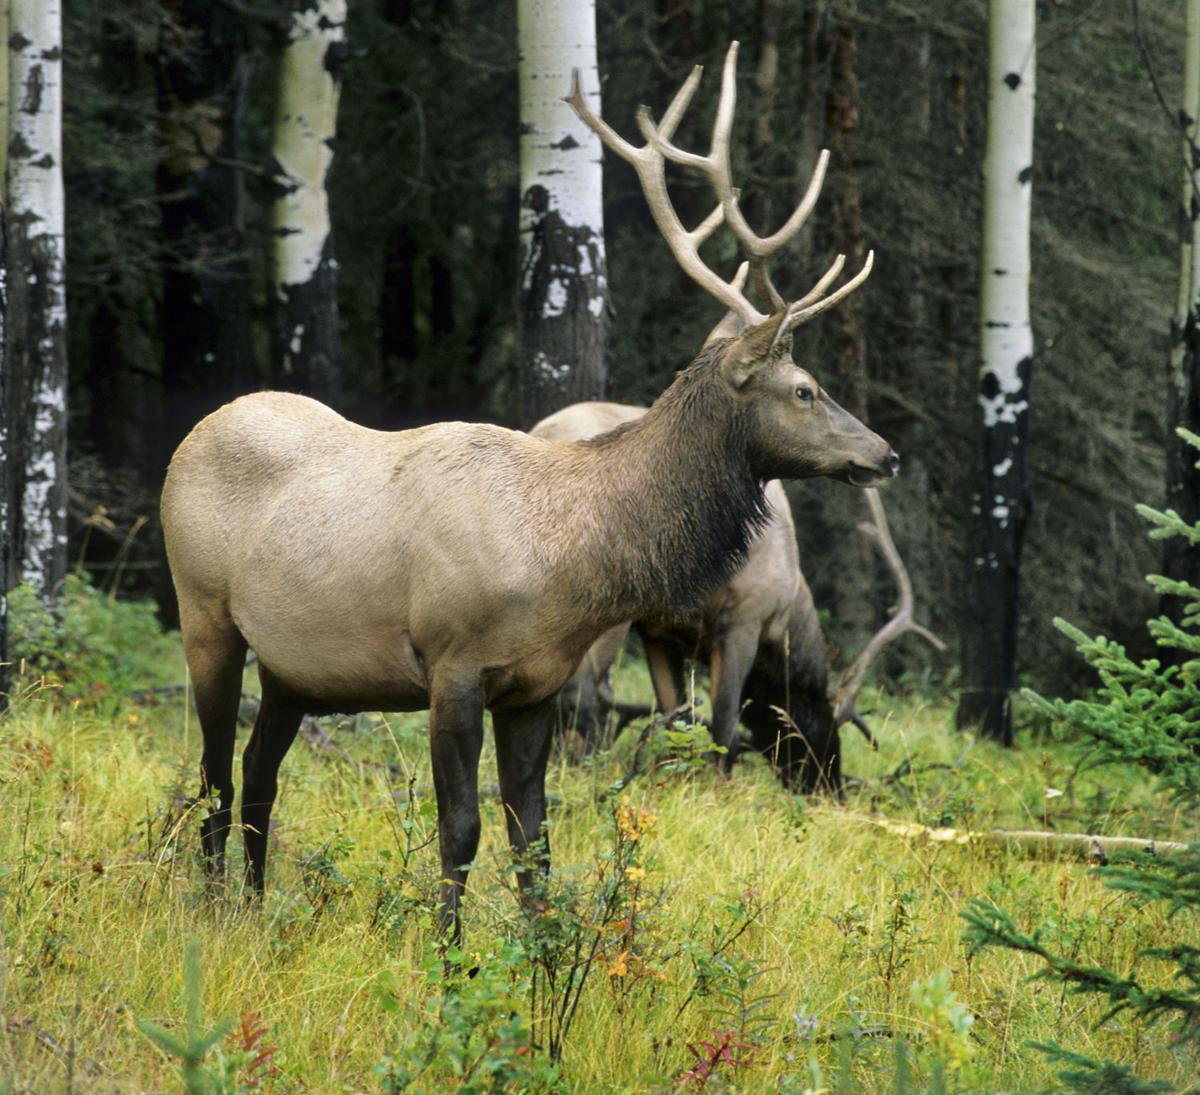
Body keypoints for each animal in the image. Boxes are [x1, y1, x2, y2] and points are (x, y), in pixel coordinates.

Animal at [160, 41, 897, 942]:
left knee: (259, 774)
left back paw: (257, 907)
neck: (572, 565)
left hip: (296, 665)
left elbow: (533, 837)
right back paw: (208, 909)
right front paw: (450, 954)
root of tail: (194, 433)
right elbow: (462, 826)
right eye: (804, 388)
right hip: (203, 613)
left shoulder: (537, 684)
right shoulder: (452, 661)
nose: (885, 452)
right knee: (214, 772)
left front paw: (542, 954)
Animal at [534, 400, 943, 793]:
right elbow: (724, 726)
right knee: (581, 695)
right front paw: (719, 790)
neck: (786, 611)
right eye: (819, 727)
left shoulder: (660, 632)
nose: (830, 789)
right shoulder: (744, 619)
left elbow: (675, 720)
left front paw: (672, 782)